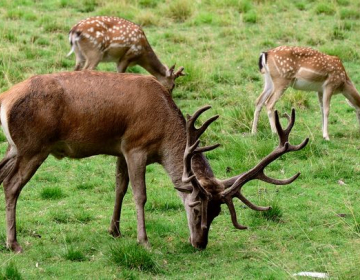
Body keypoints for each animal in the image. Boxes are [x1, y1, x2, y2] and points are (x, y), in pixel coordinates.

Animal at [0, 70, 306, 254]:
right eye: (196, 209)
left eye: (217, 213)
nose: (200, 244)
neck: (163, 135)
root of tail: (6, 99)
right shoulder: (136, 146)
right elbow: (140, 194)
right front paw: (143, 240)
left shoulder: (120, 149)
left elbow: (120, 188)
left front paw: (114, 230)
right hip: (33, 147)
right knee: (12, 185)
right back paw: (14, 244)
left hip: (14, 148)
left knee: (2, 177)